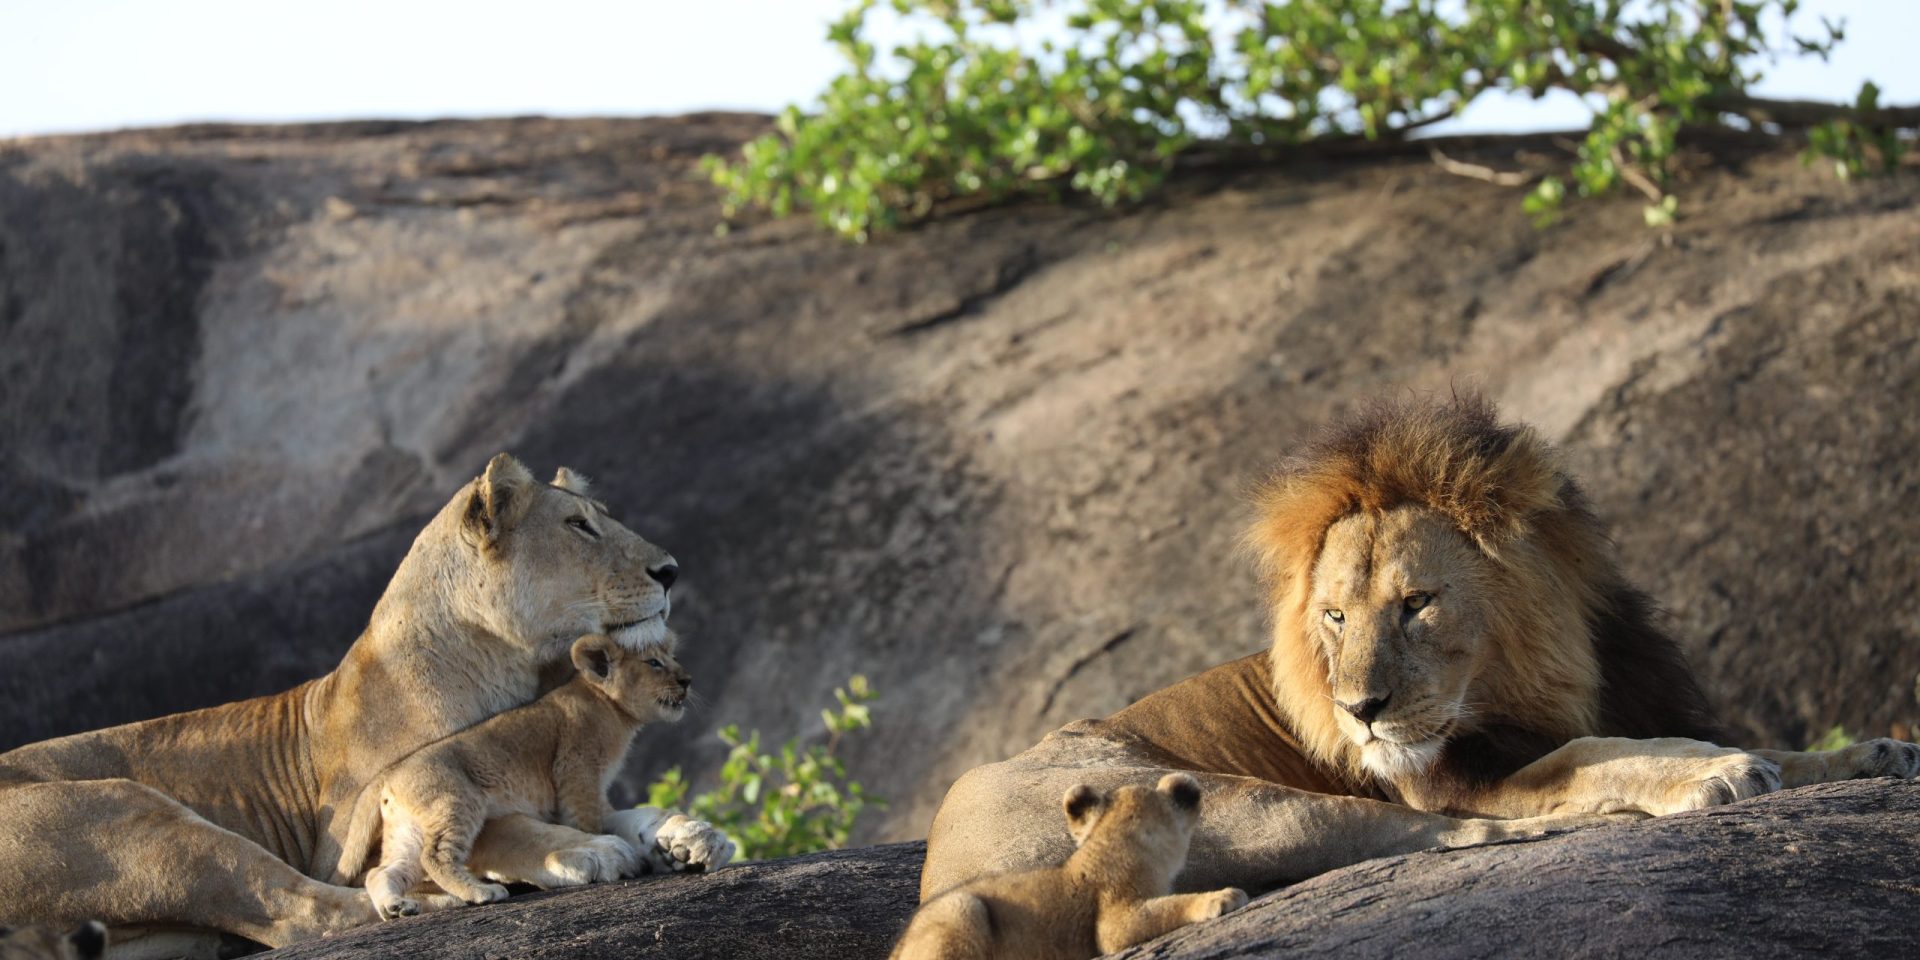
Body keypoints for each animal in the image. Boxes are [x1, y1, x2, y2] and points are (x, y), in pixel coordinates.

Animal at [359, 634, 700, 920]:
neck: (611, 708)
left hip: (406, 833)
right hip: (456, 803)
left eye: (672, 657)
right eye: (653, 663)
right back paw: (481, 892)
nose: (687, 680)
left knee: (381, 872)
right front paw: (607, 850)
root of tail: (388, 781)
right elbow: (585, 823)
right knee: (435, 857)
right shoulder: (576, 768)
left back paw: (395, 907)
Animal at [920, 396, 1920, 899]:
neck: (1535, 679)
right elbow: (1589, 757)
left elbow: (1757, 744)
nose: (1359, 712)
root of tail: (939, 861)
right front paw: (1706, 774)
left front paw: (1871, 752)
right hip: (1229, 802)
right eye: (1333, 617)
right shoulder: (1462, 773)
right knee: (1445, 833)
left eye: (1417, 605)